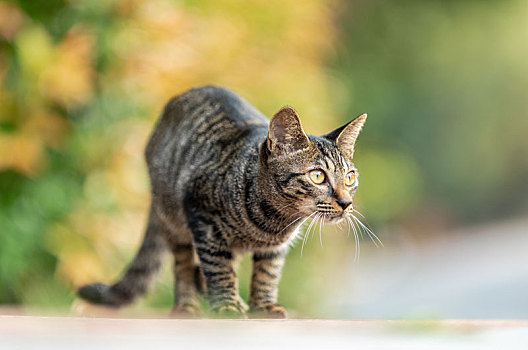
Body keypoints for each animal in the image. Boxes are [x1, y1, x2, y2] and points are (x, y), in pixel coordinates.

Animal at [78, 85, 368, 318]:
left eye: (350, 177)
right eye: (318, 176)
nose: (346, 203)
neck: (273, 222)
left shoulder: (275, 248)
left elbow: (267, 272)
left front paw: (262, 305)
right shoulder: (203, 219)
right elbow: (218, 267)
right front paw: (227, 304)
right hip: (174, 219)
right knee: (184, 266)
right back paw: (187, 305)